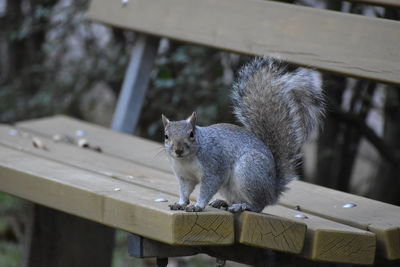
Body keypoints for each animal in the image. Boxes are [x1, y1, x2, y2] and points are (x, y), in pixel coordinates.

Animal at [161, 57, 324, 214]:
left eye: (191, 134)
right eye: (166, 136)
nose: (178, 150)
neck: (186, 160)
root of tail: (273, 191)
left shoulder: (214, 167)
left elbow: (208, 188)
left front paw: (198, 206)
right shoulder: (185, 176)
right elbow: (185, 191)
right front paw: (180, 203)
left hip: (249, 171)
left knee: (259, 205)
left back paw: (244, 206)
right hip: (230, 187)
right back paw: (223, 203)